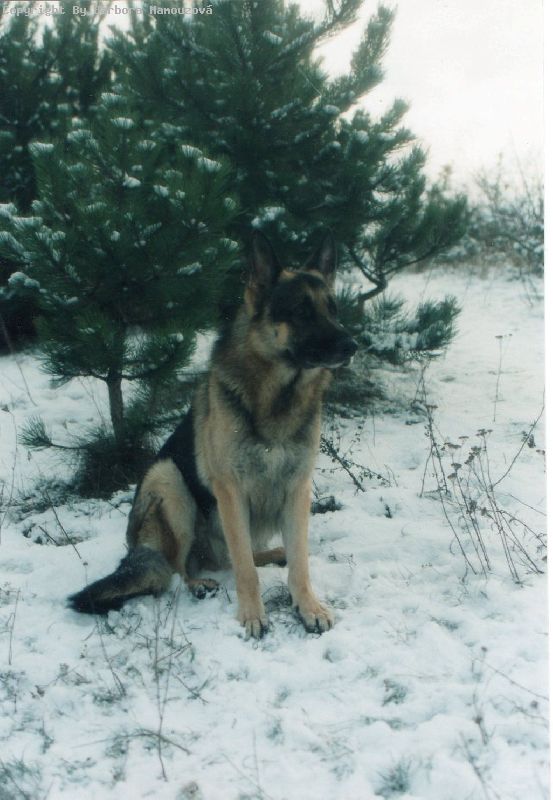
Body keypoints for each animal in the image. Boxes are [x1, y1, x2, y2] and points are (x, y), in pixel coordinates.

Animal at [68, 231, 357, 638]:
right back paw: (198, 584)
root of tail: (137, 546)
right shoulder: (230, 491)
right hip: (168, 480)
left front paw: (308, 607)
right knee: (180, 569)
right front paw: (252, 615)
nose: (352, 346)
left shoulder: (297, 489)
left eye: (333, 310)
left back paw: (273, 554)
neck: (276, 398)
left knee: (230, 559)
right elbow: (245, 570)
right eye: (301, 311)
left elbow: (299, 563)